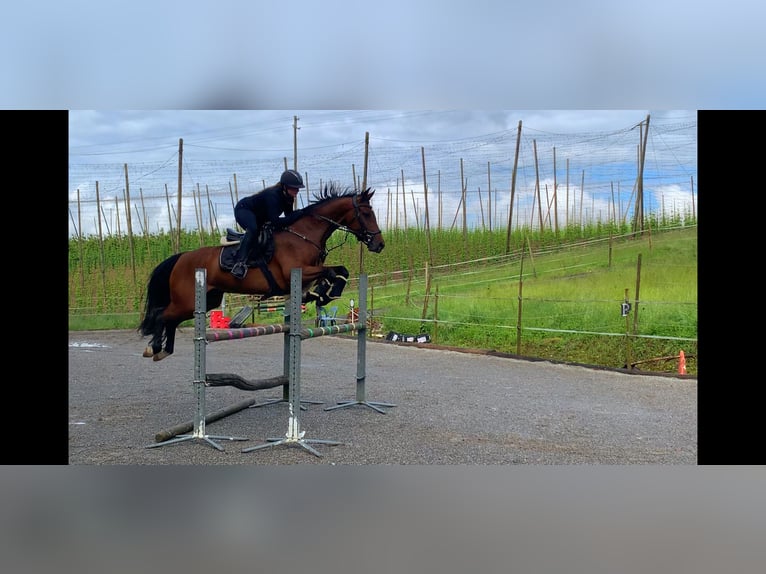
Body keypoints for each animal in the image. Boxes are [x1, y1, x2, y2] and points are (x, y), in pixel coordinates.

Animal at [138, 184, 384, 362]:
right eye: (365, 213)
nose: (379, 244)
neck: (304, 234)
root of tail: (181, 257)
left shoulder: (308, 274)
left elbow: (337, 272)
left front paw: (322, 295)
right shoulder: (299, 272)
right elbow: (333, 271)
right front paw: (326, 293)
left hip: (206, 301)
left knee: (170, 318)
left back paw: (163, 350)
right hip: (187, 300)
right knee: (162, 315)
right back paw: (155, 348)